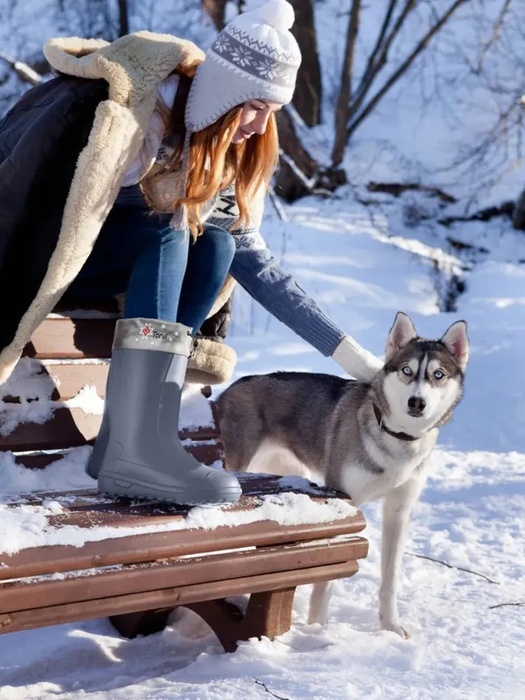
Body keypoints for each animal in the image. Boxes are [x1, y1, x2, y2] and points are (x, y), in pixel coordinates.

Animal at [215, 314, 468, 640]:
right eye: (407, 370)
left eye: (438, 374)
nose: (417, 402)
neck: (398, 441)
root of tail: (229, 390)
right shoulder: (345, 502)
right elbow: (325, 581)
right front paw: (316, 629)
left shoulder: (398, 510)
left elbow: (390, 579)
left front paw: (389, 625)